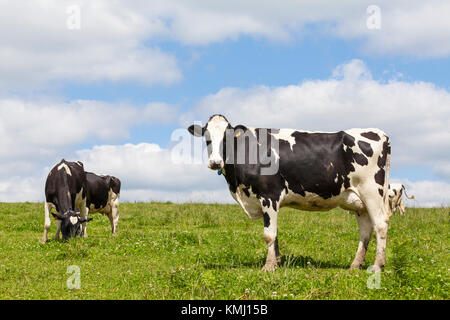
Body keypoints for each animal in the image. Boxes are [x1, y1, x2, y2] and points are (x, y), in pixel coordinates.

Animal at [188, 114, 392, 272]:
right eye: (207, 138)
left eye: (227, 138)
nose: (215, 162)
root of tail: (380, 133)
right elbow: (274, 233)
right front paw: (276, 262)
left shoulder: (269, 195)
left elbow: (269, 234)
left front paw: (268, 266)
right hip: (359, 201)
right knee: (365, 231)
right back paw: (355, 265)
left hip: (372, 192)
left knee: (380, 225)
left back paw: (377, 265)